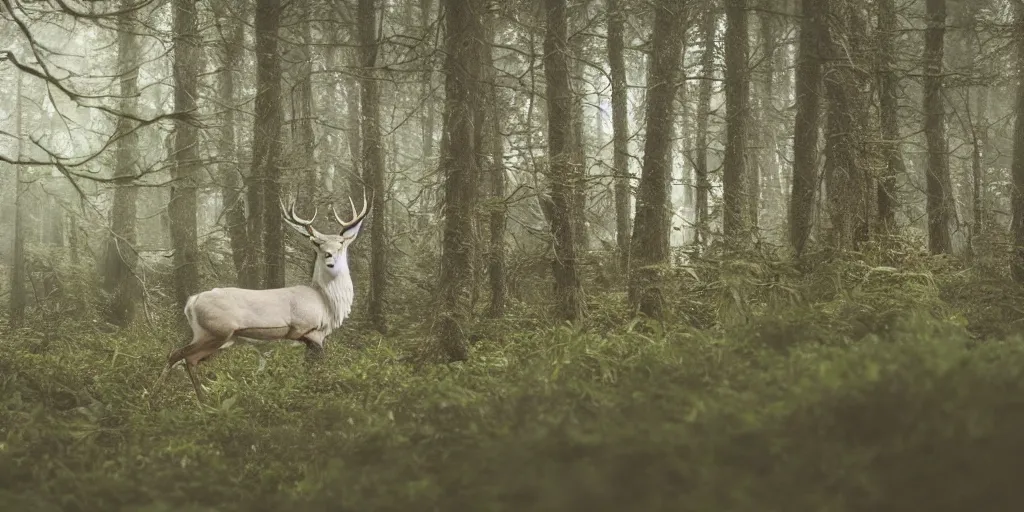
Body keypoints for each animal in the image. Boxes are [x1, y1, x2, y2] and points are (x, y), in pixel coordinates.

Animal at [153, 190, 370, 401]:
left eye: (341, 242)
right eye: (317, 243)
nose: (329, 257)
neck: (325, 301)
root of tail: (191, 302)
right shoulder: (309, 330)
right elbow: (314, 365)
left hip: (210, 334)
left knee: (188, 359)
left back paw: (201, 400)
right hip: (217, 330)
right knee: (178, 354)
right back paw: (159, 396)